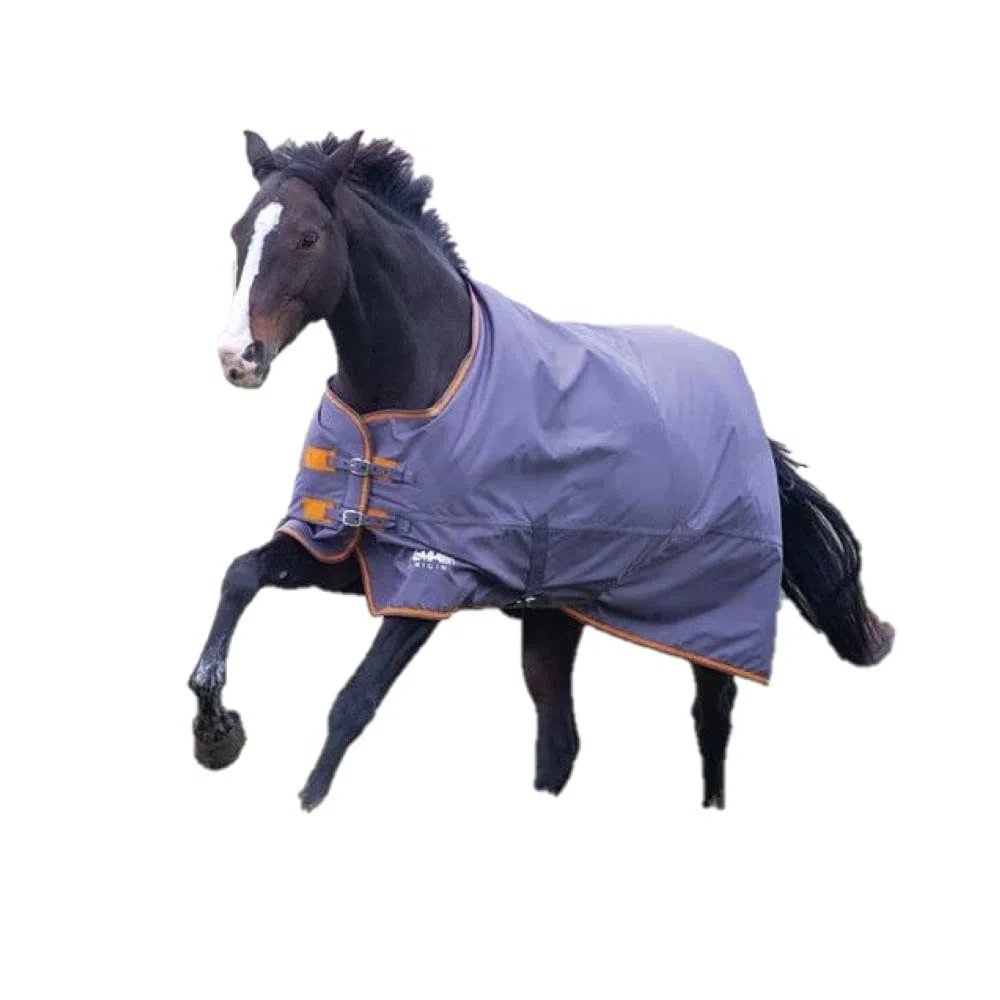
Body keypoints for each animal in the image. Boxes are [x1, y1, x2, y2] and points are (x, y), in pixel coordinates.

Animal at [190, 129, 894, 812]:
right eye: (238, 232)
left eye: (308, 237)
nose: (237, 357)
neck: (420, 386)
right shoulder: (344, 551)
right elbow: (240, 575)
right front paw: (215, 729)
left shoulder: (435, 577)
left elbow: (352, 703)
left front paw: (306, 796)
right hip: (555, 615)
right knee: (561, 739)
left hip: (708, 616)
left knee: (710, 718)